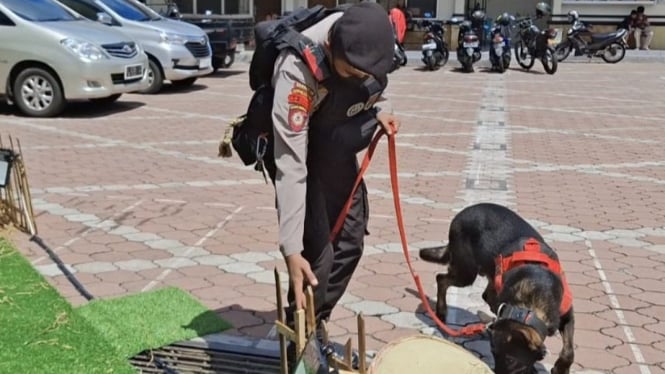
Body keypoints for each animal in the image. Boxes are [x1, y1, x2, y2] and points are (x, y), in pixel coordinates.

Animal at [420, 203, 572, 374]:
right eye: (493, 353)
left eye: (511, 360)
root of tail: (459, 215)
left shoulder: (567, 315)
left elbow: (569, 349)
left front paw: (561, 368)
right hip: (466, 271)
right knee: (441, 279)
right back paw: (441, 311)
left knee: (485, 294)